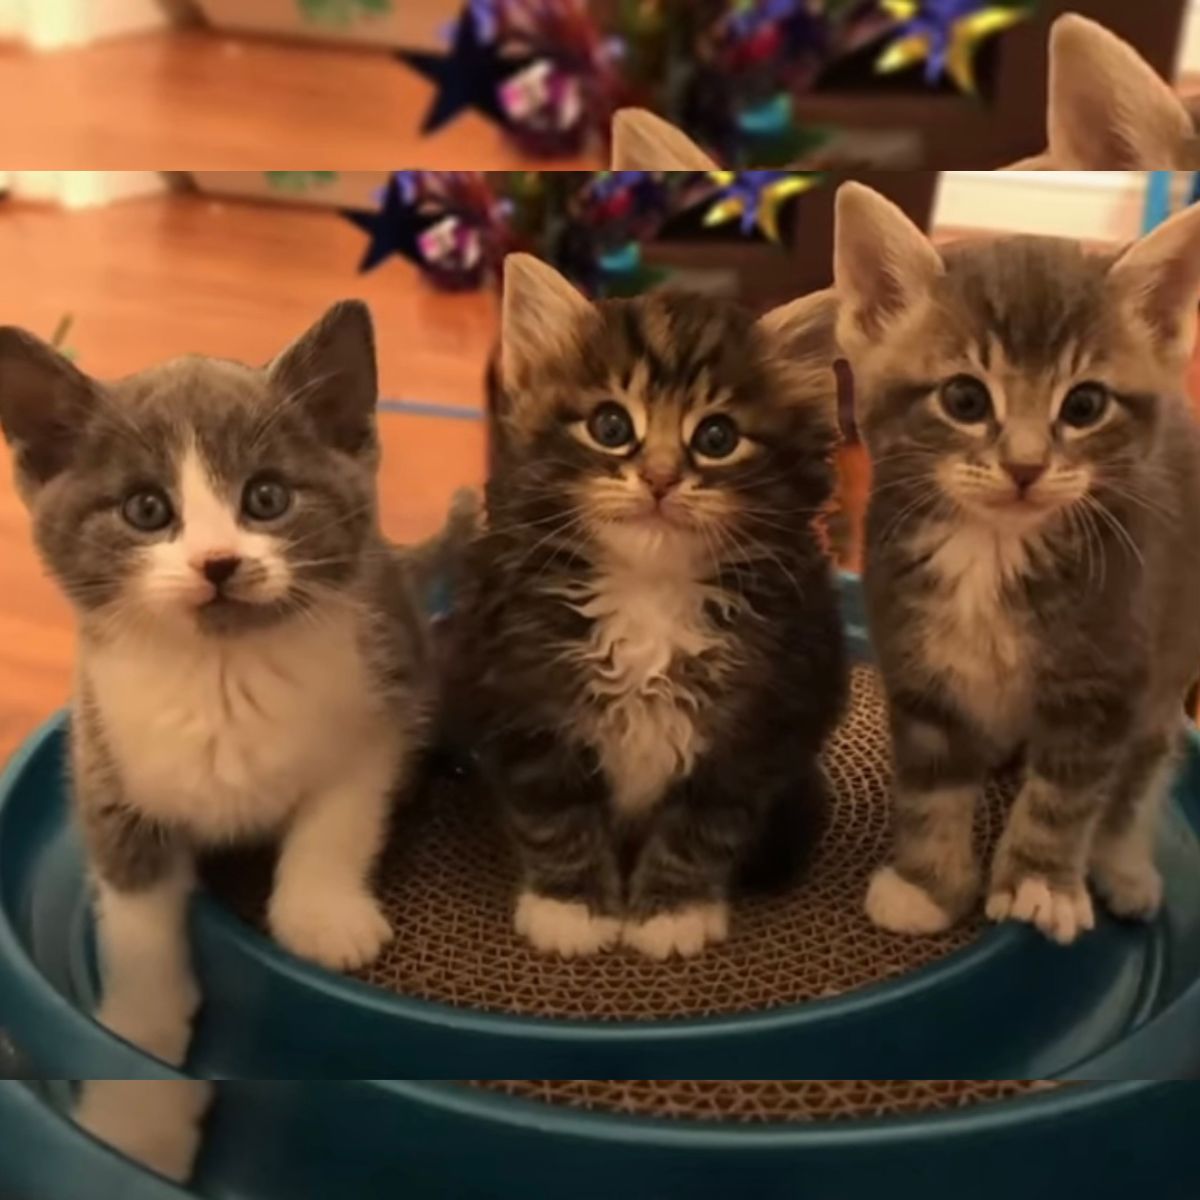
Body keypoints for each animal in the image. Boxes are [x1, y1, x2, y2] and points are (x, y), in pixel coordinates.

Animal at [0, 302, 432, 1171]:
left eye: (266, 497)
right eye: (145, 510)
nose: (219, 562)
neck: (222, 672)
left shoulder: (382, 696)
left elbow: (337, 817)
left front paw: (322, 917)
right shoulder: (108, 768)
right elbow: (141, 944)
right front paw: (139, 1115)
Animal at [453, 250, 849, 955]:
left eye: (717, 437)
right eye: (611, 427)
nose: (661, 478)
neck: (650, 588)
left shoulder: (759, 725)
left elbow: (703, 826)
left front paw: (671, 912)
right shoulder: (521, 701)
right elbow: (555, 813)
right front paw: (570, 907)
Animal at [835, 182, 1200, 940]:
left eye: (1085, 405)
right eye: (965, 398)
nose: (1026, 466)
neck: (993, 552)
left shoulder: (1108, 679)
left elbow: (1065, 799)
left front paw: (1039, 883)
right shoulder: (921, 672)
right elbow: (934, 793)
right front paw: (927, 885)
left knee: (1142, 772)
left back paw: (1124, 868)